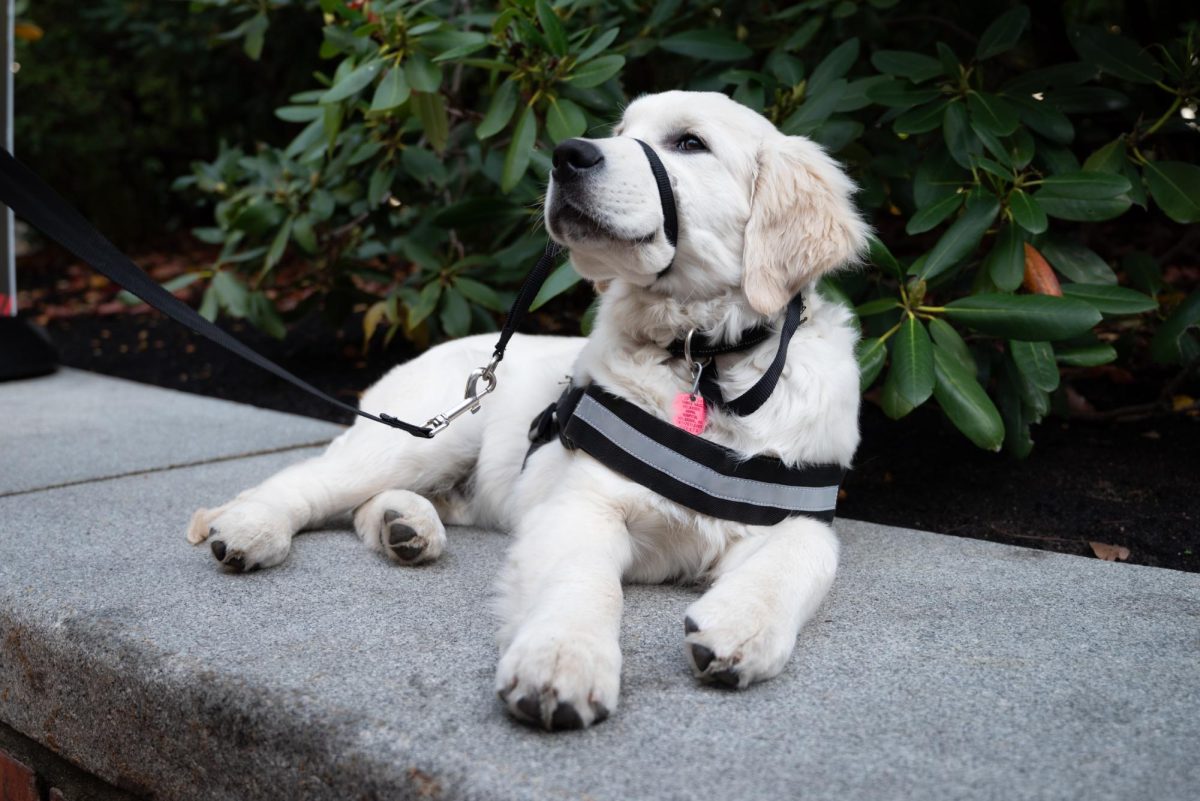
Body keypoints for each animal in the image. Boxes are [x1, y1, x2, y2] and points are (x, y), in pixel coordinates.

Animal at [184, 90, 864, 729]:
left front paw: (740, 628)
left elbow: (806, 555)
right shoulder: (584, 503)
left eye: (690, 143)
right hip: (430, 436)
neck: (703, 357)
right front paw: (562, 661)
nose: (567, 155)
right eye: (621, 131)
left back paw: (404, 526)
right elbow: (583, 582)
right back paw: (252, 528)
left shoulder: (801, 508)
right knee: (308, 481)